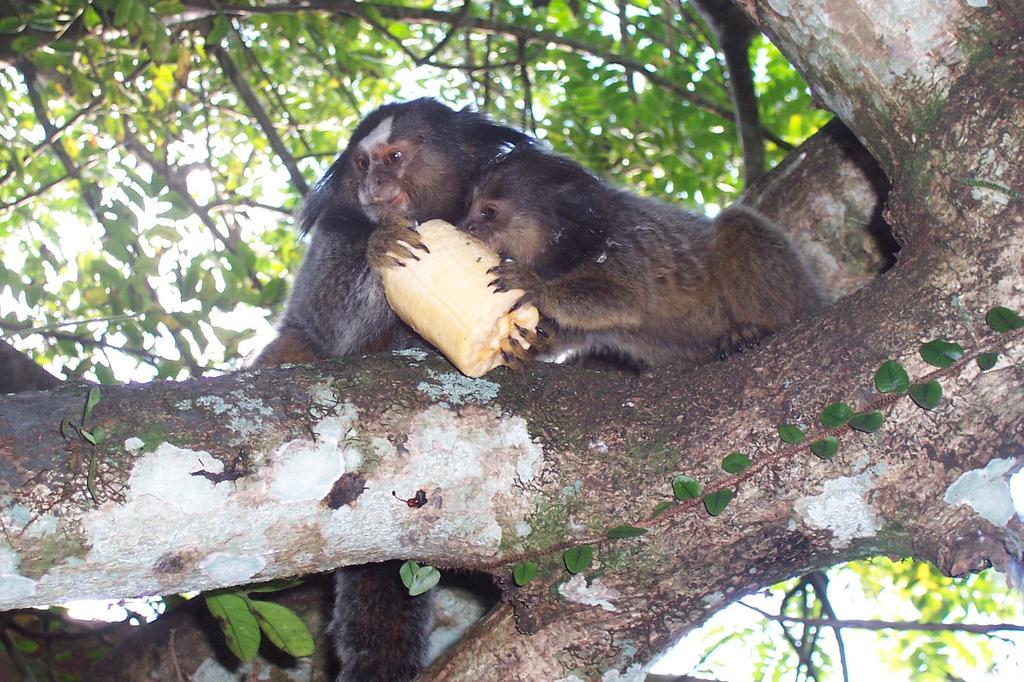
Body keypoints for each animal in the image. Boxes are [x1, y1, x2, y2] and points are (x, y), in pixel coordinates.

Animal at [251, 98, 532, 679]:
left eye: (394, 158)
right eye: (362, 164)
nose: (374, 184)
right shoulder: (335, 239)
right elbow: (334, 325)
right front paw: (383, 246)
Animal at [456, 145, 823, 364]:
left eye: (488, 212)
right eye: (469, 209)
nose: (466, 226)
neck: (570, 244)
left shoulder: (621, 244)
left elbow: (628, 298)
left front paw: (535, 286)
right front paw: (536, 343)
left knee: (737, 225)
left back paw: (755, 328)